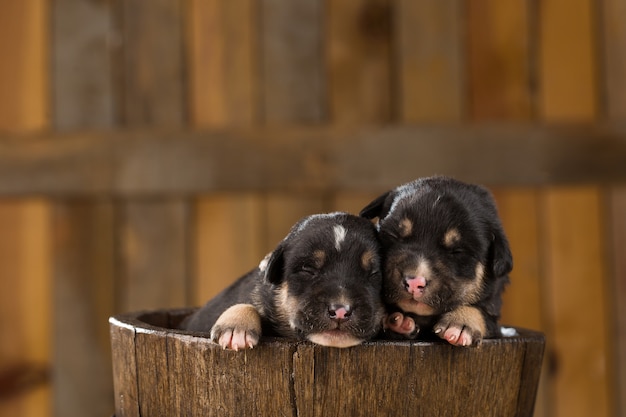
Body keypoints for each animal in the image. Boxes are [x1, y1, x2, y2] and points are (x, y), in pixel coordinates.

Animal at [358, 175, 510, 344]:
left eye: (457, 251)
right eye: (393, 236)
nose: (414, 283)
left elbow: (483, 313)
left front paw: (461, 323)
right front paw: (397, 321)